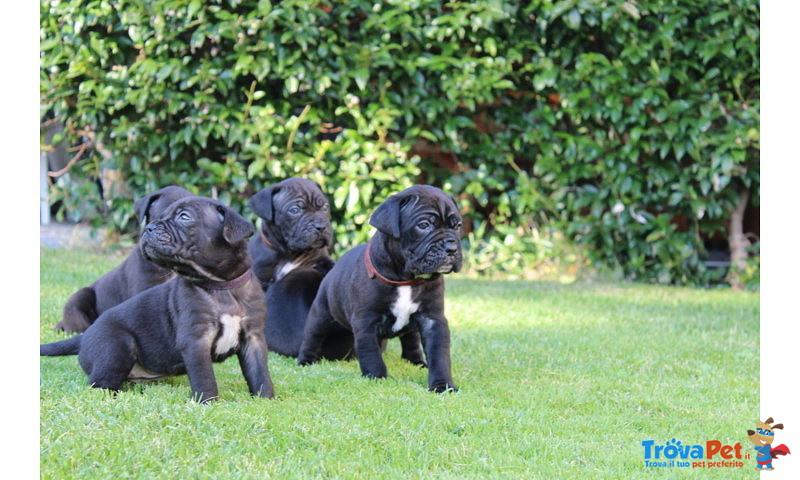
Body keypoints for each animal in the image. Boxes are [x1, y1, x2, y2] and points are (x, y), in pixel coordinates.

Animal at [298, 186, 462, 392]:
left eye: (457, 226)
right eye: (424, 225)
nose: (452, 247)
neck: (406, 280)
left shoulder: (433, 320)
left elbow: (439, 355)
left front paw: (443, 385)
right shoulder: (366, 321)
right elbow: (370, 352)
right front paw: (376, 377)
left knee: (411, 340)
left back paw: (416, 362)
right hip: (321, 313)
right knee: (313, 335)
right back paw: (305, 361)